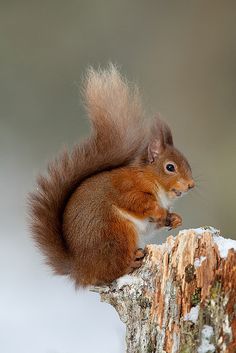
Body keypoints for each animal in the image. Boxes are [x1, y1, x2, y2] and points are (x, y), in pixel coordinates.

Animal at [29, 64, 195, 286]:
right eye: (170, 167)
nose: (191, 184)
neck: (150, 177)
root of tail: (82, 269)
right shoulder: (128, 186)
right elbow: (137, 202)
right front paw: (159, 210)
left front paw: (174, 219)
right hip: (115, 233)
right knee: (112, 270)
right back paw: (130, 262)